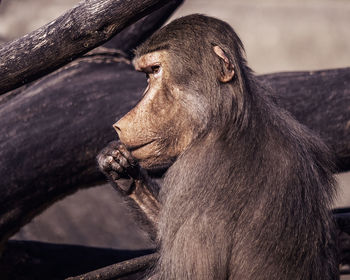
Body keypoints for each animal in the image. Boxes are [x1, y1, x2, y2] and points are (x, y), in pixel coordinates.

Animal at [97, 14, 338, 280]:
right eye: (147, 75)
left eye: (155, 70)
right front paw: (121, 169)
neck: (228, 117)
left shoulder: (195, 173)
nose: (119, 124)